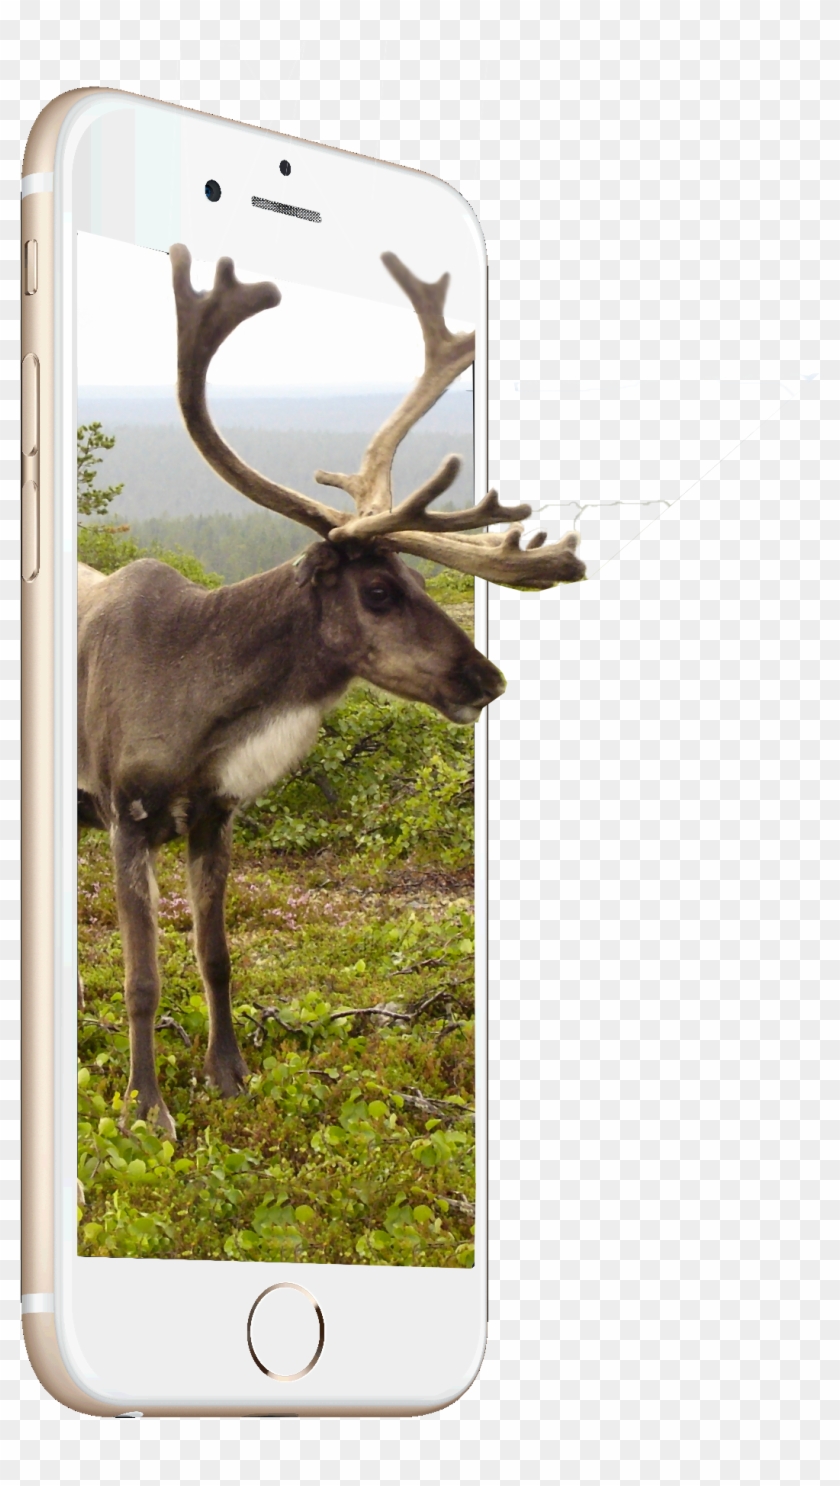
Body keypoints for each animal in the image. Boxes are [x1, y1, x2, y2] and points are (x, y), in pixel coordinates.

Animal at [77, 244, 586, 1140]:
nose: (486, 679)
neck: (201, 705)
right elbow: (142, 981)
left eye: (416, 575)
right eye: (377, 590)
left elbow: (217, 956)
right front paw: (147, 1109)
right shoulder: (124, 816)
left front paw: (230, 1077)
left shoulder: (213, 815)